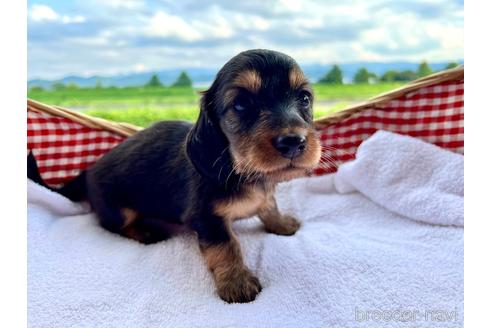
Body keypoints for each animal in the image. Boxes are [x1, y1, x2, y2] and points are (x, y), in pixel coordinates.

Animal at [29, 48, 322, 302]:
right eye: (241, 104)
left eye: (305, 98)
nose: (293, 142)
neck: (240, 169)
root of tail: (88, 169)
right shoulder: (207, 218)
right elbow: (226, 246)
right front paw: (237, 282)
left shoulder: (262, 196)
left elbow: (269, 205)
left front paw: (281, 223)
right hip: (119, 210)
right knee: (113, 225)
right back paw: (146, 232)